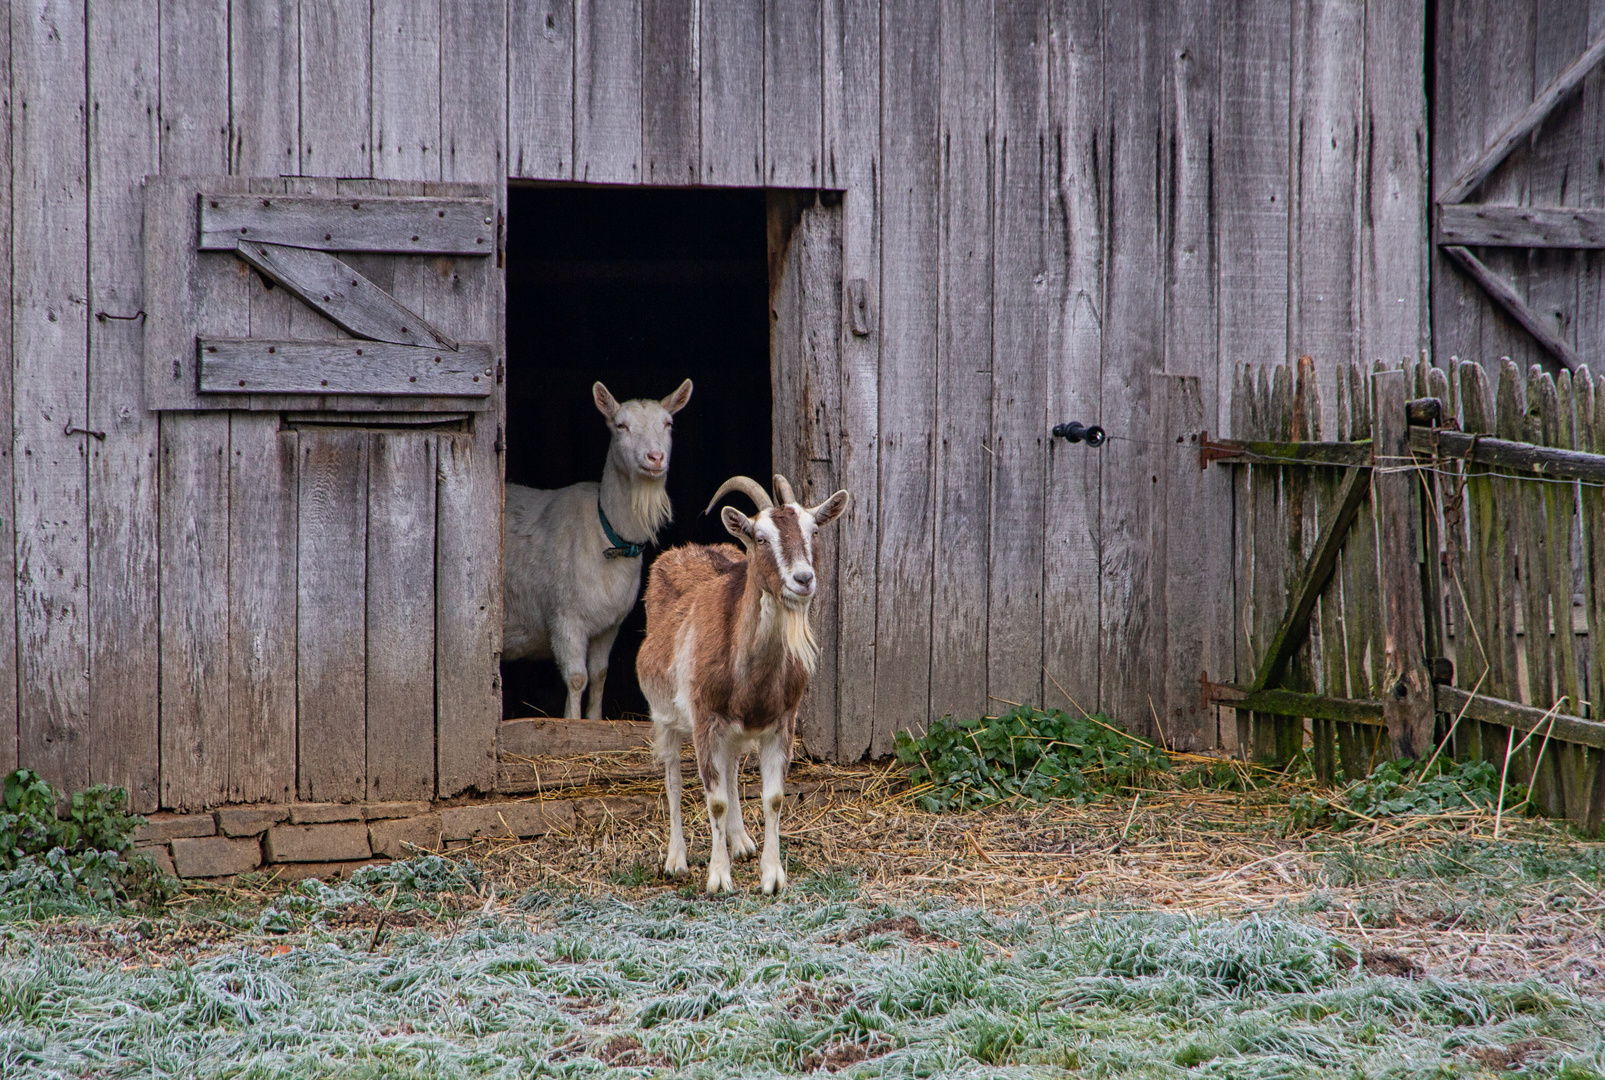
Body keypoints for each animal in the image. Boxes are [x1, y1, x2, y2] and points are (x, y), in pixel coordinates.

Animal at [500, 378, 690, 715]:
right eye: (621, 425)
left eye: (668, 423)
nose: (655, 457)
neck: (608, 534)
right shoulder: (564, 617)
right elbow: (577, 678)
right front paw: (572, 720)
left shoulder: (610, 624)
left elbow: (600, 674)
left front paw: (594, 718)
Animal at [638, 475, 853, 892]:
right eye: (760, 538)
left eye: (815, 530)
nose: (803, 579)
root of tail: (686, 550)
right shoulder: (705, 721)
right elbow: (715, 799)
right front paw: (719, 877)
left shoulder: (780, 724)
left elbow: (773, 798)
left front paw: (772, 875)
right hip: (664, 715)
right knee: (673, 775)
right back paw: (676, 860)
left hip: (733, 733)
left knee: (732, 769)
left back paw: (740, 841)